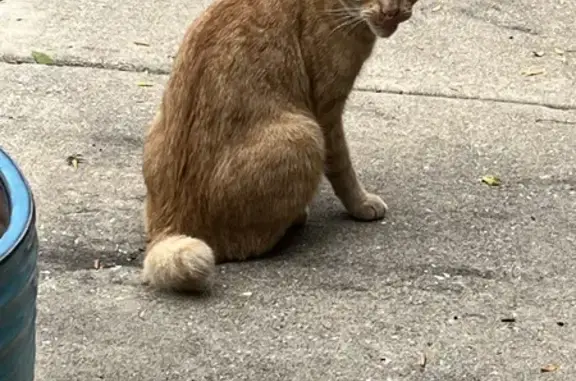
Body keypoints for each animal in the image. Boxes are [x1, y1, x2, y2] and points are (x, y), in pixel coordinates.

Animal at [141, 0, 416, 290]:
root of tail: (169, 224)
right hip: (307, 135)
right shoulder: (327, 113)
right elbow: (343, 169)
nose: (392, 12)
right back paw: (296, 218)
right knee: (245, 244)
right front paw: (362, 204)